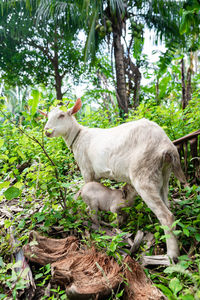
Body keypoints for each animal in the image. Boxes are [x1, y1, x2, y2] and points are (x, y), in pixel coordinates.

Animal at [40, 98, 186, 260]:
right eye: (47, 116)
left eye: (61, 115)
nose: (47, 130)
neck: (78, 136)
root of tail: (166, 145)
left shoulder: (86, 170)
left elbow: (88, 188)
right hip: (164, 175)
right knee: (168, 205)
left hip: (143, 174)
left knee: (166, 216)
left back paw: (171, 256)